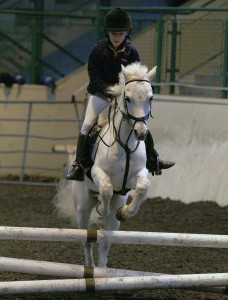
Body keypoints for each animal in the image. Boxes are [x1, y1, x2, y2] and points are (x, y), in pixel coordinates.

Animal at [53, 62, 157, 268]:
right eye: (127, 98)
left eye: (150, 98)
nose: (141, 133)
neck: (126, 145)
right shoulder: (97, 172)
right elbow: (107, 188)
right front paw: (103, 209)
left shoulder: (139, 174)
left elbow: (142, 187)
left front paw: (125, 212)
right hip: (82, 208)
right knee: (87, 239)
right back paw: (90, 266)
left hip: (114, 210)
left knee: (105, 242)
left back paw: (102, 270)